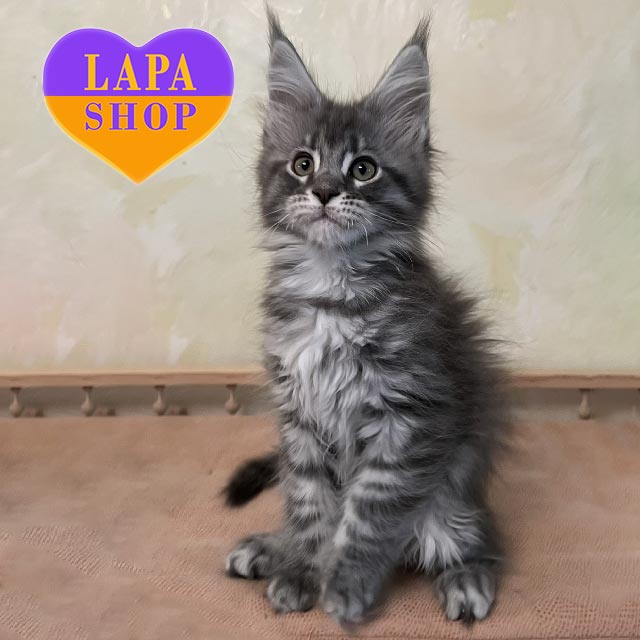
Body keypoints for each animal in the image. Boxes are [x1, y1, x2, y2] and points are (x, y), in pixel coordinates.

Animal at [224, 10, 508, 626]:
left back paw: (466, 578)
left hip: (455, 495)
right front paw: (302, 570)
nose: (325, 191)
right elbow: (311, 508)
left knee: (480, 542)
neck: (331, 295)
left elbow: (368, 517)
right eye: (302, 164)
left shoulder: (411, 416)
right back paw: (271, 548)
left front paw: (346, 585)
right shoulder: (299, 418)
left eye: (363, 169)